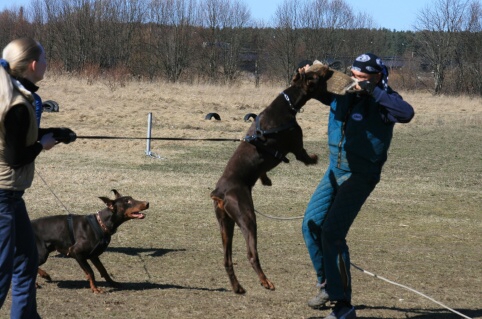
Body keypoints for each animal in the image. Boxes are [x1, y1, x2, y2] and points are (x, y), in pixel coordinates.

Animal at [211, 63, 354, 296]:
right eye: (316, 74)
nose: (327, 66)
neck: (288, 102)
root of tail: (220, 193)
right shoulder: (297, 145)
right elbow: (305, 156)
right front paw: (314, 158)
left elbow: (264, 171)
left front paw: (266, 180)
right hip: (246, 214)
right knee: (251, 254)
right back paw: (265, 282)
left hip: (225, 222)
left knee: (227, 259)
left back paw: (238, 286)